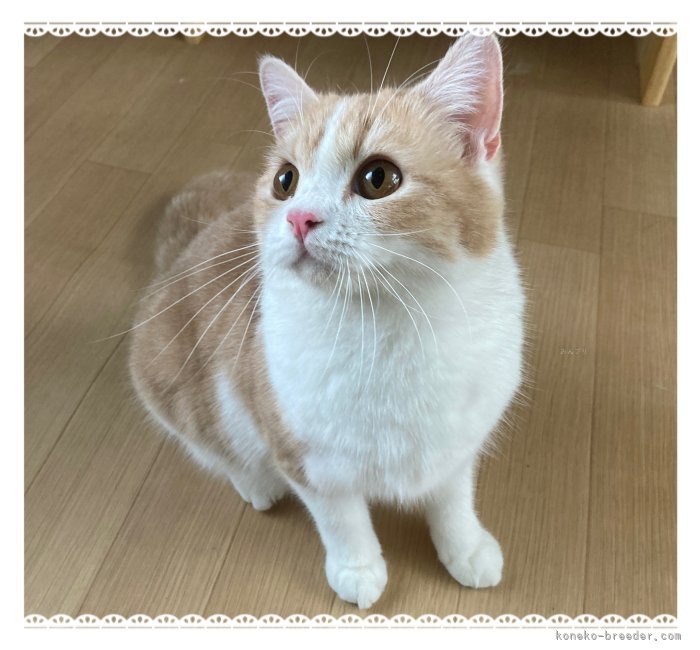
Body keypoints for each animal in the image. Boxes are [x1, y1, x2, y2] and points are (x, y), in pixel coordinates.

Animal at [129, 33, 525, 609]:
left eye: (378, 178)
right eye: (285, 180)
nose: (299, 217)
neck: (388, 327)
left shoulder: (457, 442)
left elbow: (453, 498)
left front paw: (465, 547)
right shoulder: (308, 458)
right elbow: (342, 520)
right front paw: (358, 569)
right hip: (172, 380)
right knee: (215, 447)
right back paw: (256, 484)